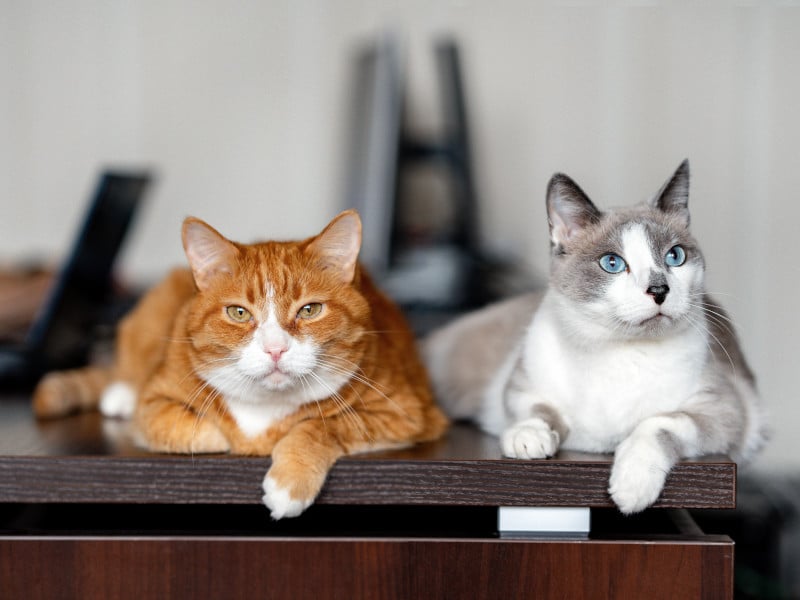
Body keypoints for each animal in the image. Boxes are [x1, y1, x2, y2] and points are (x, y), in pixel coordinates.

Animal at [34, 211, 446, 516]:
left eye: (310, 310)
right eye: (238, 312)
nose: (275, 349)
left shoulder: (406, 412)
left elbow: (324, 424)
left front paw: (289, 481)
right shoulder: (154, 403)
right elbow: (194, 428)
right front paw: (232, 437)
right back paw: (119, 394)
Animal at [424, 162, 768, 512]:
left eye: (675, 256)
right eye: (612, 263)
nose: (659, 290)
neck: (620, 351)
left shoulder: (725, 412)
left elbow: (658, 423)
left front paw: (632, 484)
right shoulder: (521, 387)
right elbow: (538, 411)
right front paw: (528, 438)